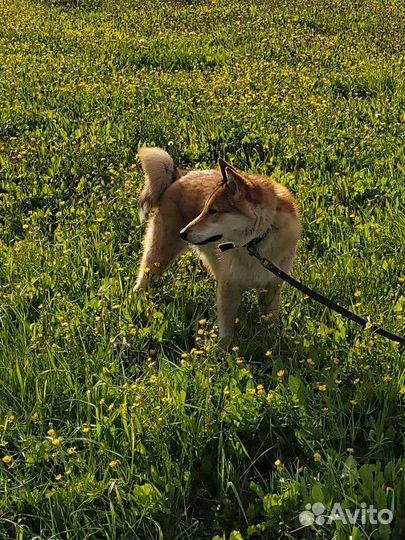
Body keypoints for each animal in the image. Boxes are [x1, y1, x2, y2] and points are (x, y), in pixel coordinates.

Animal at [135, 148, 300, 338]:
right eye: (205, 209)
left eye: (213, 211)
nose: (182, 233)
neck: (256, 243)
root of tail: (179, 175)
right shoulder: (229, 287)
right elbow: (226, 332)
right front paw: (224, 347)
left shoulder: (271, 286)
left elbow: (270, 323)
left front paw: (271, 340)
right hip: (160, 254)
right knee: (143, 277)